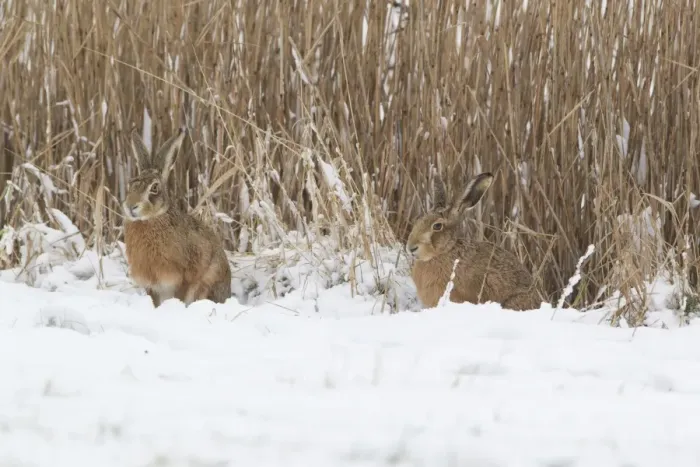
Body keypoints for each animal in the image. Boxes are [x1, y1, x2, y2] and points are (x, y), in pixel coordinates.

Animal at [122, 128, 232, 307]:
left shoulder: (184, 277)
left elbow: (180, 296)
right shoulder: (152, 285)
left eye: (154, 188)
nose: (131, 206)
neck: (152, 219)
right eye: (131, 184)